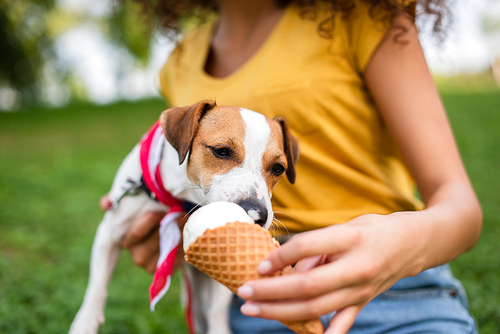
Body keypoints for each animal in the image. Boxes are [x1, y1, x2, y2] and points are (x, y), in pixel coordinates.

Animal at [68, 100, 298, 334]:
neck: (180, 197)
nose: (257, 214)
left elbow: (217, 309)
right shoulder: (109, 232)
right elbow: (97, 286)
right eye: (221, 151)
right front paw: (85, 323)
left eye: (278, 168)